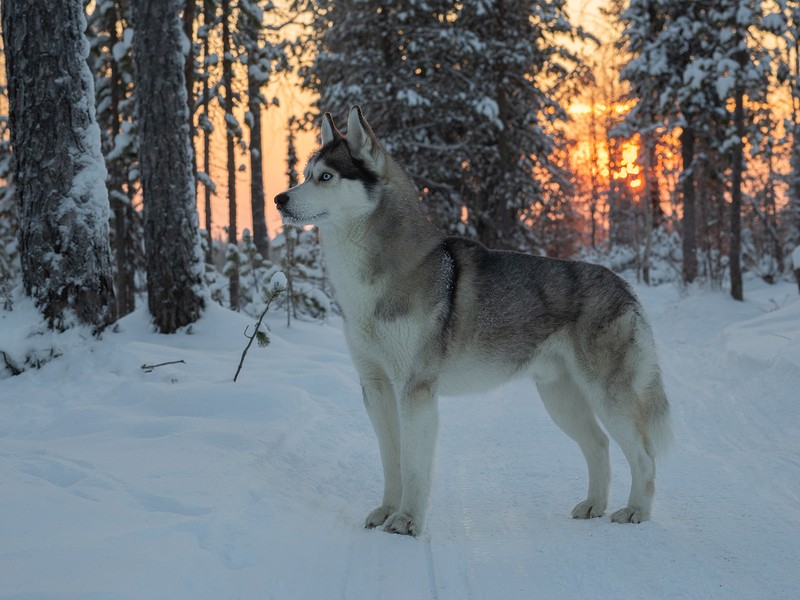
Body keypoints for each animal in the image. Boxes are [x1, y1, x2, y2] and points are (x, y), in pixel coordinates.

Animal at [274, 105, 668, 536]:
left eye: (326, 176)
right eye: (305, 173)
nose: (279, 198)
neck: (368, 281)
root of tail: (624, 285)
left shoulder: (416, 390)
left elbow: (413, 466)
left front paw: (407, 521)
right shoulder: (376, 387)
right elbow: (391, 461)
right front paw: (387, 511)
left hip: (607, 395)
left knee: (645, 456)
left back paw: (637, 511)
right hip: (559, 397)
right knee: (598, 445)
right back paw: (594, 505)